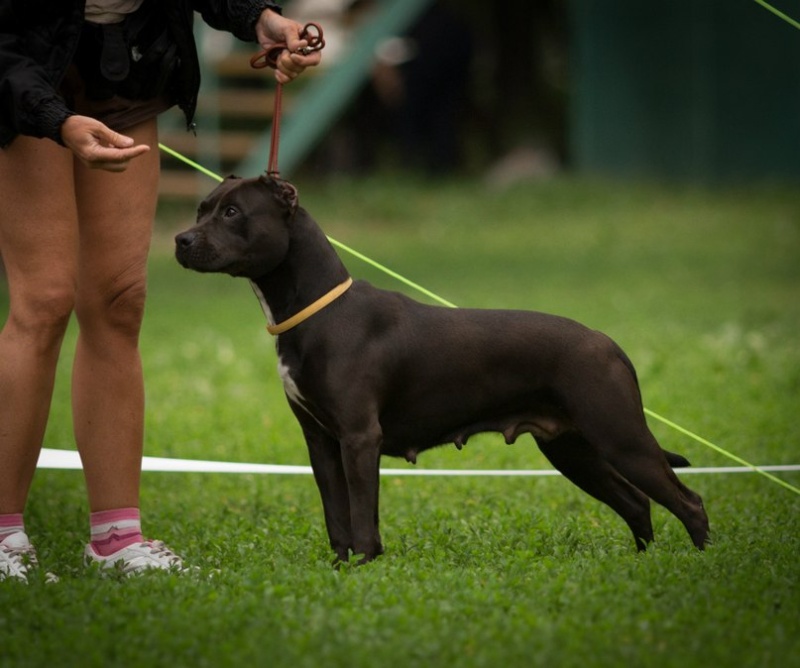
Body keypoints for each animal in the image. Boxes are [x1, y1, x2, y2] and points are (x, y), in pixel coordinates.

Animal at [177, 175, 712, 560]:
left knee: (687, 501)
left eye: (232, 212)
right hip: (573, 450)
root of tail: (608, 342)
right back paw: (642, 562)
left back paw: (702, 564)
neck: (316, 310)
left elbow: (362, 518)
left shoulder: (359, 438)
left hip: (621, 438)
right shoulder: (321, 441)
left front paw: (365, 569)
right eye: (202, 209)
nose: (181, 239)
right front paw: (340, 571)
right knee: (636, 502)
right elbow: (337, 520)